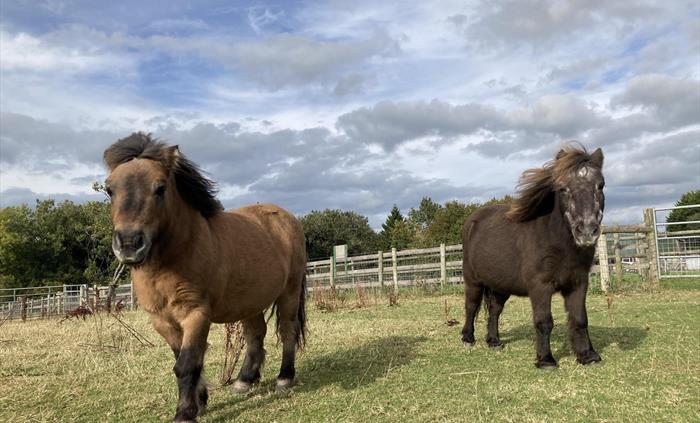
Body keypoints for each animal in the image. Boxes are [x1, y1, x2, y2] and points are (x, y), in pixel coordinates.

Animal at [103, 132, 307, 422]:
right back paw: (245, 380)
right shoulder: (163, 321)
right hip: (250, 301)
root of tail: (287, 218)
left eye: (160, 188)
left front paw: (185, 412)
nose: (130, 244)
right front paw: (200, 402)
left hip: (289, 292)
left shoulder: (196, 315)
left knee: (288, 330)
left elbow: (187, 364)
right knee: (256, 334)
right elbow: (185, 360)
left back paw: (284, 378)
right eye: (110, 190)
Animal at [461, 145, 605, 369]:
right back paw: (468, 339)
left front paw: (588, 356)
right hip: (473, 280)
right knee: (471, 305)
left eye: (600, 185)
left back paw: (494, 341)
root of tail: (472, 221)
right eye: (563, 189)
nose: (587, 231)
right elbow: (544, 321)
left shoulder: (578, 283)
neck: (556, 240)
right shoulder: (540, 286)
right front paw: (545, 360)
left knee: (494, 310)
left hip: (501, 285)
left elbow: (580, 319)